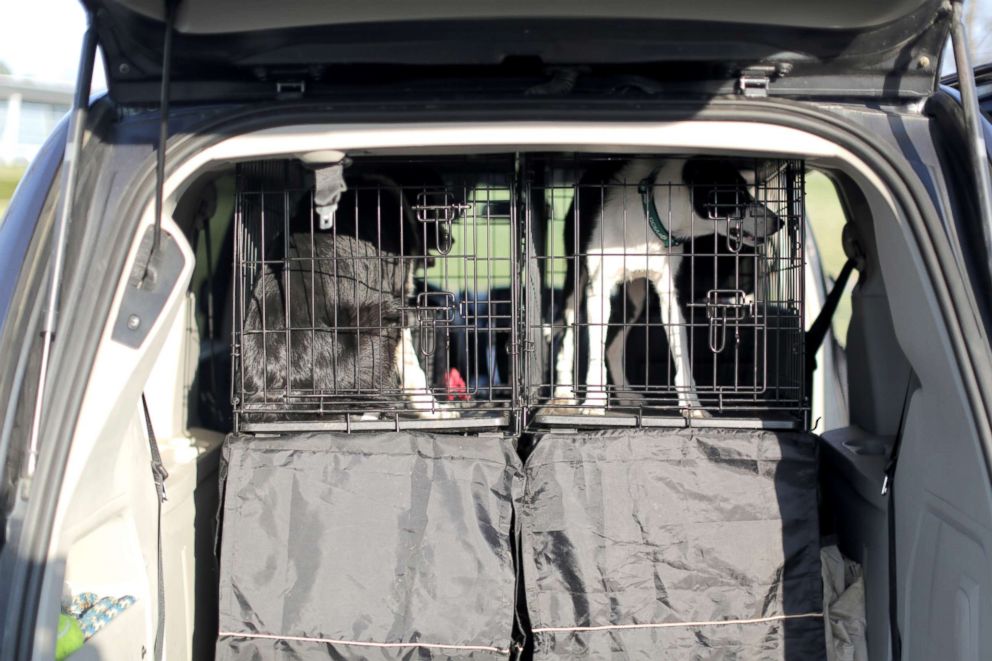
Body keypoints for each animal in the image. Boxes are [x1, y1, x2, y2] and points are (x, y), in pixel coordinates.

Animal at [242, 165, 456, 418]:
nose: (450, 239)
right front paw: (434, 410)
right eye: (438, 208)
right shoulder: (397, 298)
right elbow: (413, 370)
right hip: (381, 321)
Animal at [552, 156, 784, 412]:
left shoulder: (671, 297)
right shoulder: (598, 291)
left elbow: (682, 357)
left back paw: (624, 393)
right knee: (568, 340)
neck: (649, 220)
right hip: (576, 282)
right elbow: (592, 355)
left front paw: (693, 407)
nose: (779, 222)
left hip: (635, 299)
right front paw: (593, 403)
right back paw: (563, 392)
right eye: (737, 194)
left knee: (612, 346)